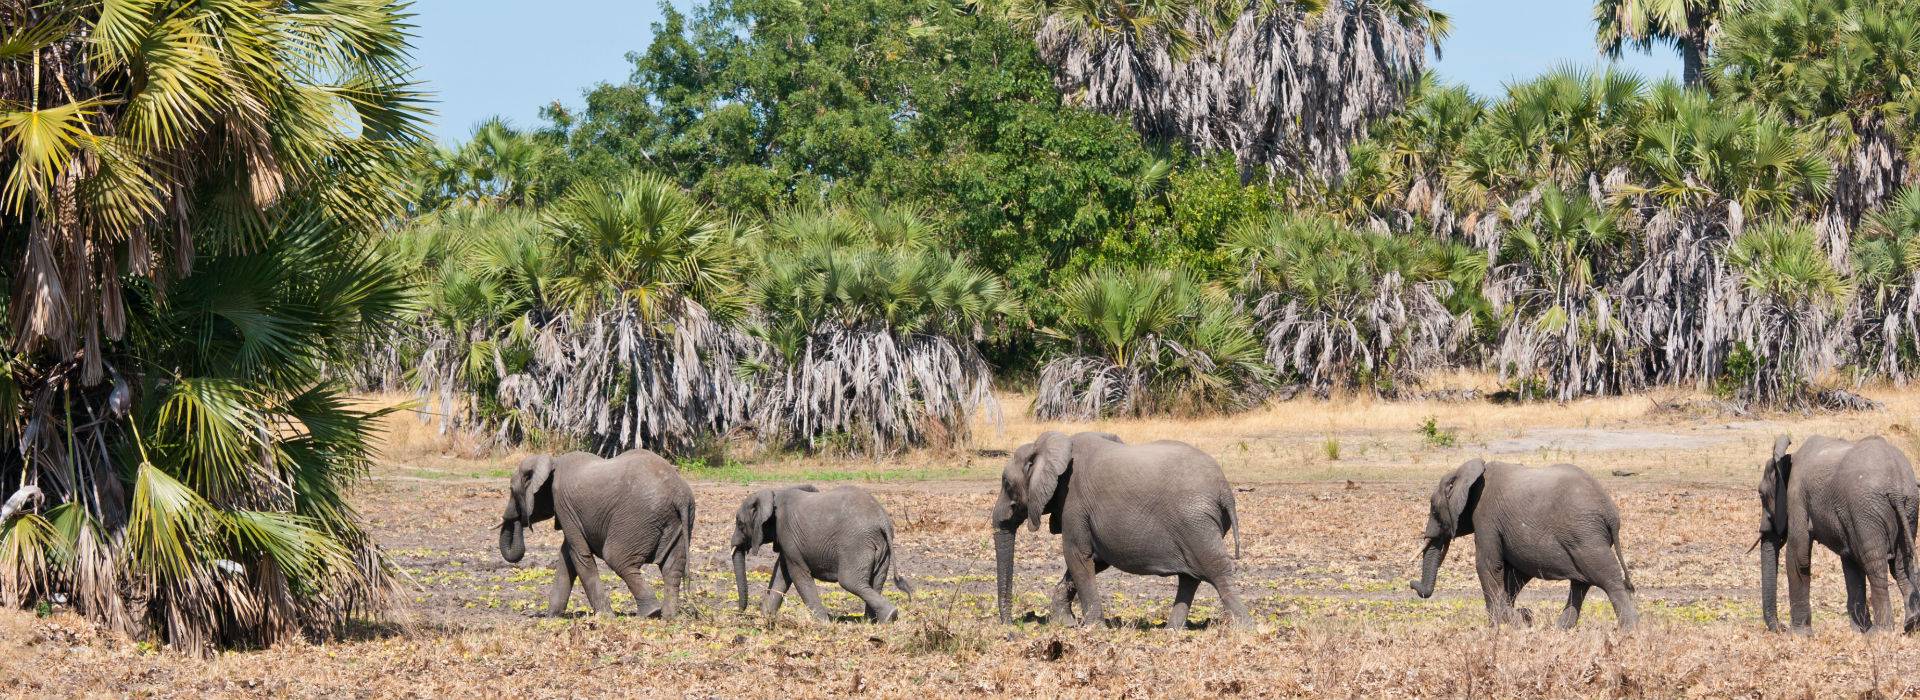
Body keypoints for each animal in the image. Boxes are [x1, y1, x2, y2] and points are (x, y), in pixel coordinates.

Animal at [495, 446, 698, 617]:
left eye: (512, 490)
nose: (520, 519)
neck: (552, 461)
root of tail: (680, 495)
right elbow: (566, 558)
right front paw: (551, 618)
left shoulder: (563, 504)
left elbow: (579, 555)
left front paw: (605, 617)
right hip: (677, 521)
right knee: (672, 567)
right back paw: (668, 616)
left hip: (639, 518)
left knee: (617, 558)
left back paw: (650, 613)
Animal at [729, 485, 917, 621]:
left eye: (739, 524)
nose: (740, 613)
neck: (774, 493)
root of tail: (882, 520)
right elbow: (782, 575)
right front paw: (766, 617)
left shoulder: (787, 533)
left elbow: (797, 574)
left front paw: (822, 622)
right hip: (881, 547)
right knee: (876, 581)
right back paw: (872, 621)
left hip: (856, 545)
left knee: (851, 582)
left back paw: (889, 616)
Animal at [990, 427, 1244, 629]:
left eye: (1006, 483)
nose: (1010, 627)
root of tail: (1225, 490)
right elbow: (1094, 559)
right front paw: (1066, 624)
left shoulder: (1075, 502)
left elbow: (1077, 556)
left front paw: (1092, 629)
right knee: (1190, 577)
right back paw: (1172, 630)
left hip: (1195, 521)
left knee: (1216, 569)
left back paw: (1244, 627)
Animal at [1405, 458, 1643, 629]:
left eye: (1433, 509)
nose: (1410, 583)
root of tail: (1612, 515)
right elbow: (1514, 574)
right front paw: (1510, 622)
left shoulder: (1485, 516)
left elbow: (1488, 566)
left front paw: (1505, 625)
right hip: (1584, 535)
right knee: (1581, 583)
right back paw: (1560, 629)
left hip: (1585, 535)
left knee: (1608, 578)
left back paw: (1629, 630)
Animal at [1758, 433, 1920, 629]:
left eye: (1761, 494)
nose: (1780, 627)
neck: (1789, 458)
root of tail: (1895, 487)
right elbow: (1851, 561)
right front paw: (1860, 630)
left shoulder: (1797, 497)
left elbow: (1798, 554)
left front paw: (1798, 633)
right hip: (1908, 507)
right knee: (1901, 564)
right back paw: (1910, 624)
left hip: (1867, 510)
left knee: (1876, 564)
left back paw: (1882, 631)